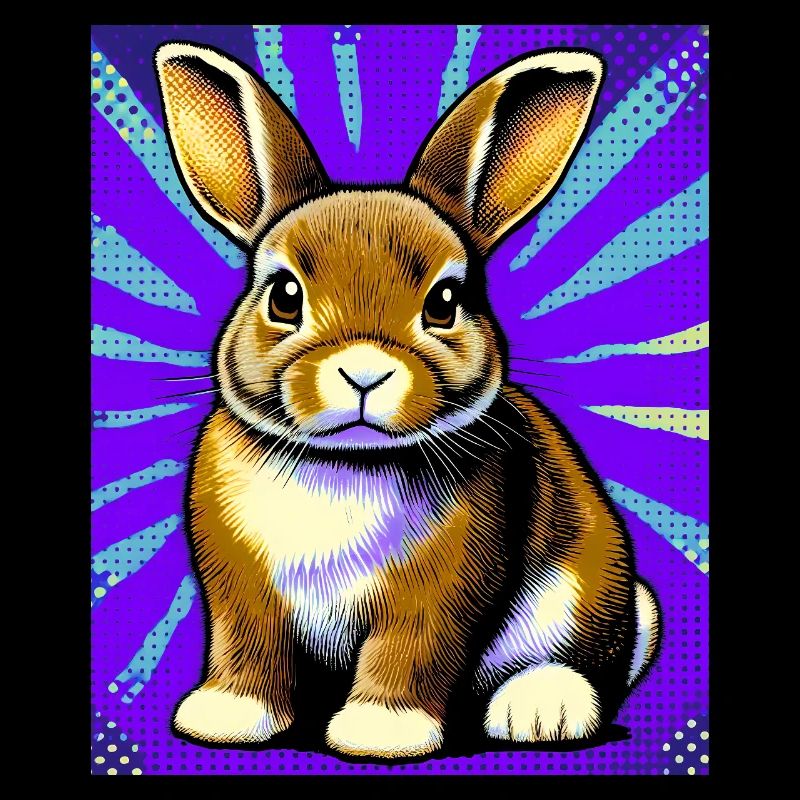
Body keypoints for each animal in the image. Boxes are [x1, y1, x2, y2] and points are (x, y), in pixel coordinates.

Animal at [154, 41, 661, 759]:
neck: (346, 463)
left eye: (445, 302)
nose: (364, 372)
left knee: (593, 663)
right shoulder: (239, 587)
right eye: (284, 295)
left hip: (586, 593)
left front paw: (380, 732)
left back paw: (541, 710)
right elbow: (246, 646)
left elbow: (411, 650)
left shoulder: (442, 587)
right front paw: (225, 715)